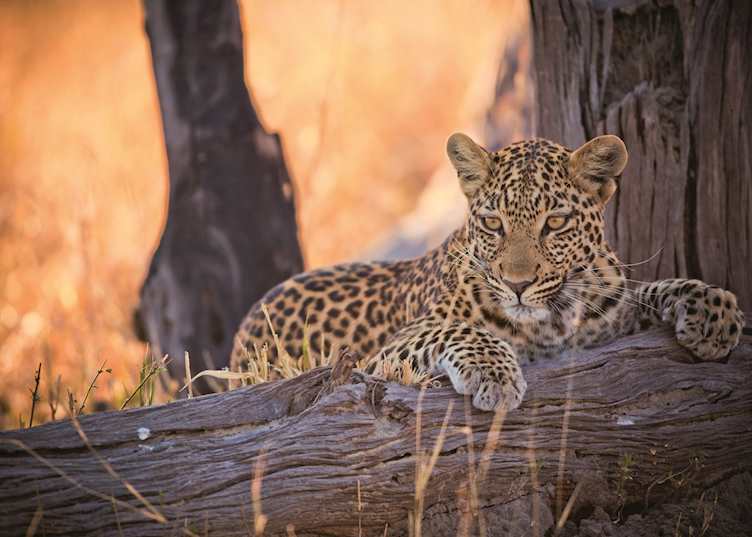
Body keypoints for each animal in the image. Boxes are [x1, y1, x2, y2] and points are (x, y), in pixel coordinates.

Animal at [231, 133, 745, 411]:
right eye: (494, 223)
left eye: (554, 223)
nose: (518, 286)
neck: (552, 323)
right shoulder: (384, 356)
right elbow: (456, 329)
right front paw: (495, 375)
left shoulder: (612, 319)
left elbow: (648, 288)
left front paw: (713, 312)